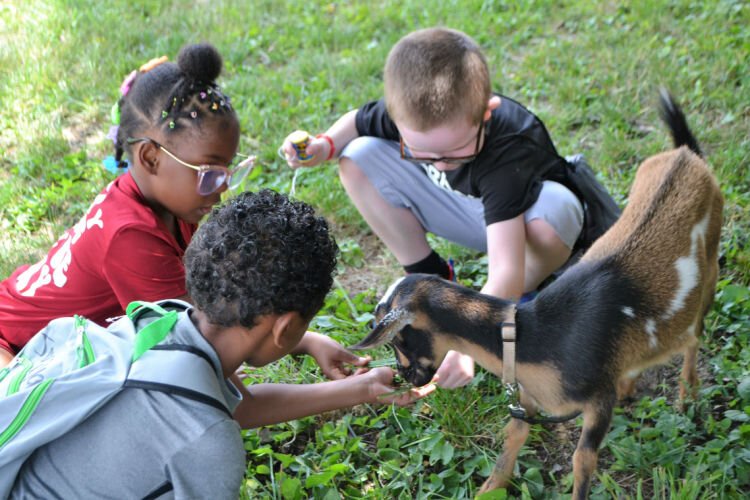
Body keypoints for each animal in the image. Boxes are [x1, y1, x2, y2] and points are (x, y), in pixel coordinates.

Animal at [352, 92, 724, 498]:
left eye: (396, 337)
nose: (406, 378)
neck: (536, 338)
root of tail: (686, 154)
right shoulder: (527, 397)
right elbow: (514, 433)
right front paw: (490, 487)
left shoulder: (597, 400)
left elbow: (582, 460)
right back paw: (631, 383)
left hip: (710, 266)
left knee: (694, 334)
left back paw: (687, 394)